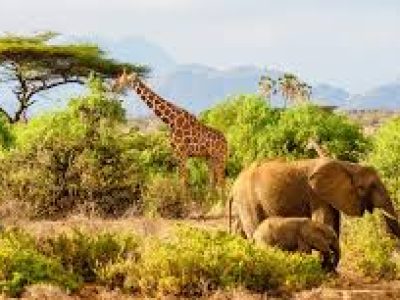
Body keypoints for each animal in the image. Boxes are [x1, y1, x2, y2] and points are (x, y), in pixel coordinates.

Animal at [228, 157, 400, 239]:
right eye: (366, 188)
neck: (347, 166)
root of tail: (234, 185)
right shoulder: (316, 195)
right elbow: (324, 222)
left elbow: (334, 226)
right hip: (248, 199)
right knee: (253, 228)